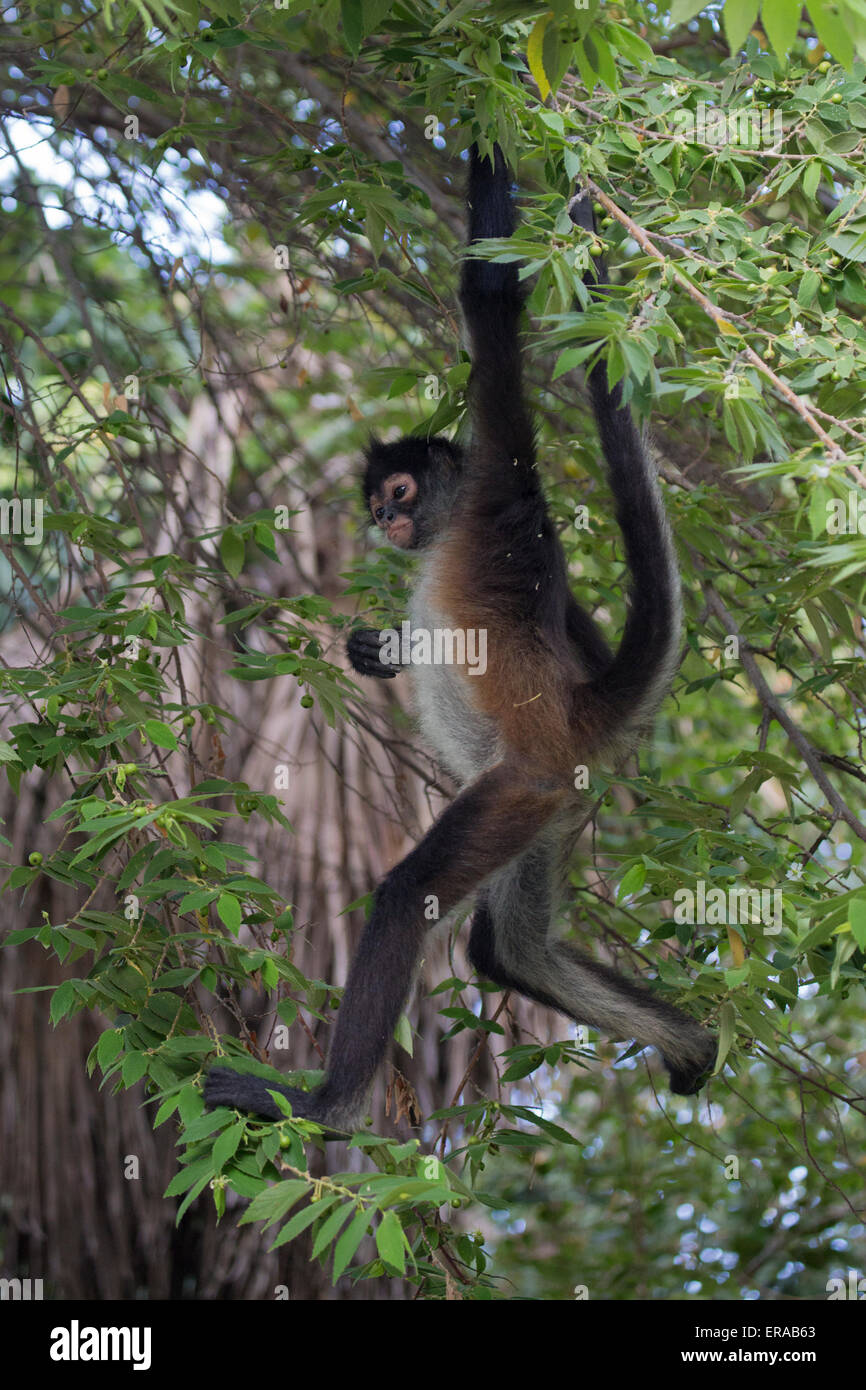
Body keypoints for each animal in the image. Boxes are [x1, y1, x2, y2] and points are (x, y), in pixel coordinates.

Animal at [204, 146, 717, 1134]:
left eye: (400, 494)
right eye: (377, 507)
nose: (387, 522)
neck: (449, 524)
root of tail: (572, 724)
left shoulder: (499, 483)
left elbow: (490, 302)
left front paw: (492, 140)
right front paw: (378, 653)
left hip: (517, 787)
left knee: (410, 897)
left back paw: (325, 1106)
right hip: (552, 803)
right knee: (507, 952)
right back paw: (695, 1043)